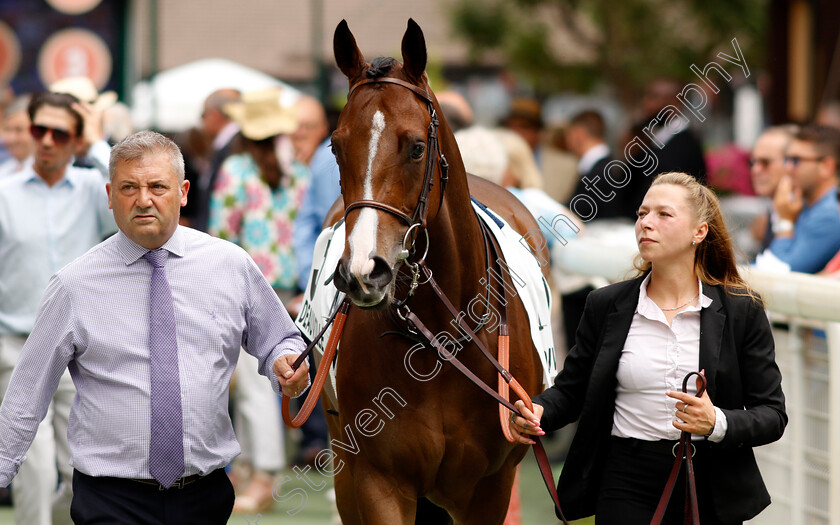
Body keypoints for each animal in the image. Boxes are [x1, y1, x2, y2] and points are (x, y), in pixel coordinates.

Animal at [324, 18, 548, 520]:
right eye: (336, 147)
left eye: (416, 147)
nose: (364, 271)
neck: (442, 341)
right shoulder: (377, 481)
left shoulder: (490, 486)